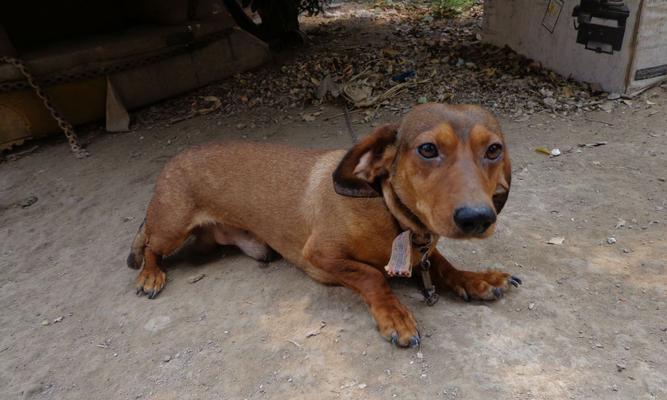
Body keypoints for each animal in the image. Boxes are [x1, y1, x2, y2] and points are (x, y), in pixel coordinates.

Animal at [126, 102, 520, 346]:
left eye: (494, 150)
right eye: (427, 150)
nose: (477, 218)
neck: (392, 218)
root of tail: (174, 159)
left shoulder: (423, 251)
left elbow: (443, 264)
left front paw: (476, 279)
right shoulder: (320, 255)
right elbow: (372, 276)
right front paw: (394, 314)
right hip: (172, 228)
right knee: (149, 246)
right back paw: (150, 275)